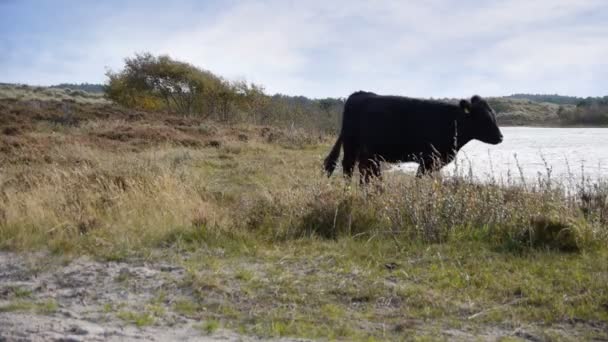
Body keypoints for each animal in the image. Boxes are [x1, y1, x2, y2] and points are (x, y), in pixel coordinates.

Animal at [324, 91, 504, 182]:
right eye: (484, 118)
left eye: (494, 115)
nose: (501, 137)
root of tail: (358, 94)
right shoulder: (428, 159)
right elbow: (419, 180)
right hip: (351, 145)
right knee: (348, 168)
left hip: (369, 153)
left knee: (367, 171)